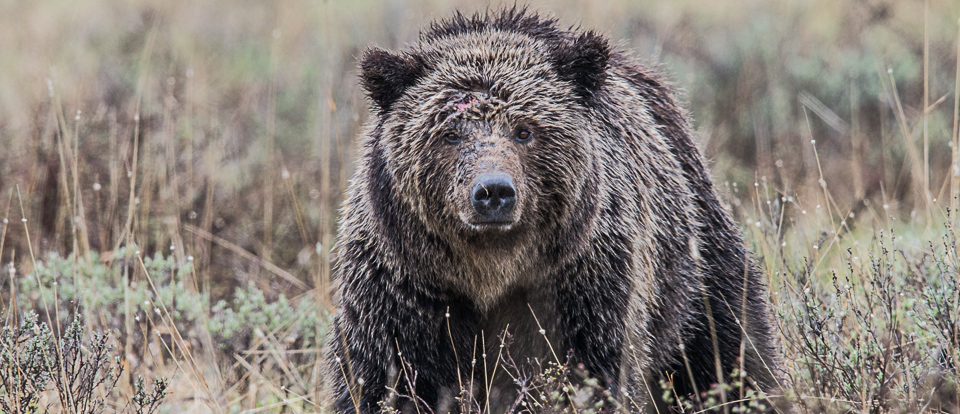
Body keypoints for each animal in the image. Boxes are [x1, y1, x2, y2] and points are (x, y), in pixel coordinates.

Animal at [324, 7, 784, 413]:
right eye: (450, 133)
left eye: (525, 131)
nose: (493, 192)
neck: (488, 272)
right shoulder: (404, 290)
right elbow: (386, 381)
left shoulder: (582, 287)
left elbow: (588, 373)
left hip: (693, 265)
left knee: (730, 346)